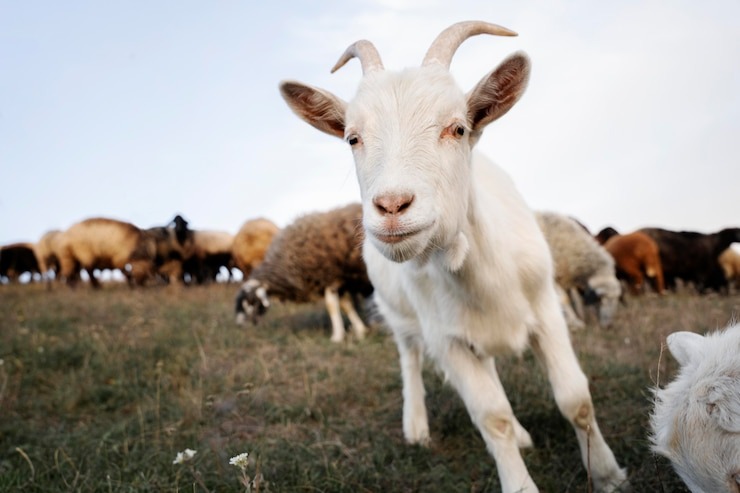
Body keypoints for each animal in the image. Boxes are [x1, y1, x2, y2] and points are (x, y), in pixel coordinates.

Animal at [236, 201, 372, 342]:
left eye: (250, 302)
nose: (239, 325)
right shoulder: (339, 282)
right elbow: (346, 305)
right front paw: (360, 331)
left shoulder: (330, 278)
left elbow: (331, 306)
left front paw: (337, 336)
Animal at [280, 20, 628, 492]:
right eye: (353, 137)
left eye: (458, 128)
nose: (391, 206)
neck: (481, 270)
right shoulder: (445, 339)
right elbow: (492, 416)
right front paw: (520, 481)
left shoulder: (545, 308)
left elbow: (575, 397)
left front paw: (608, 473)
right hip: (400, 314)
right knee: (409, 358)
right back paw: (416, 426)